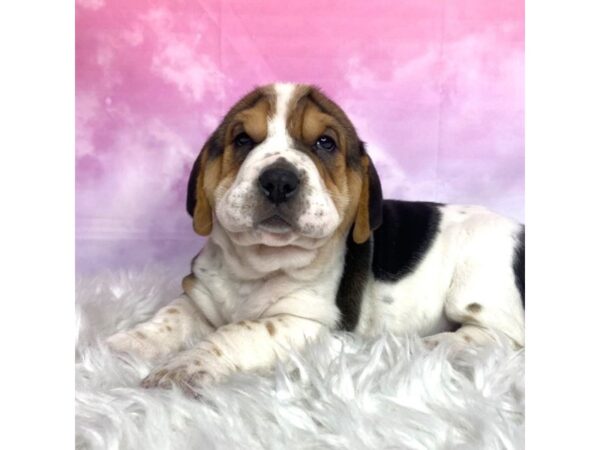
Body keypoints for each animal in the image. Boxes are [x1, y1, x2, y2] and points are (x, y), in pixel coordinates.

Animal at [108, 82, 524, 392]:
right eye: (243, 140)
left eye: (325, 143)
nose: (278, 180)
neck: (258, 264)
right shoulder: (200, 299)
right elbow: (167, 320)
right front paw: (123, 344)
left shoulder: (303, 323)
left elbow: (237, 332)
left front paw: (183, 367)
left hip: (476, 290)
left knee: (505, 338)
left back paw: (435, 345)